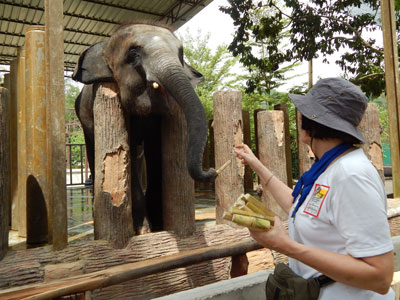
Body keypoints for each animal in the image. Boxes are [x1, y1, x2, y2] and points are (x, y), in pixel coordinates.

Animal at [72, 21, 216, 234]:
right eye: (133, 55)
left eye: (181, 54)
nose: (212, 170)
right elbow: (127, 153)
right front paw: (144, 230)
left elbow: (156, 151)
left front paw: (159, 225)